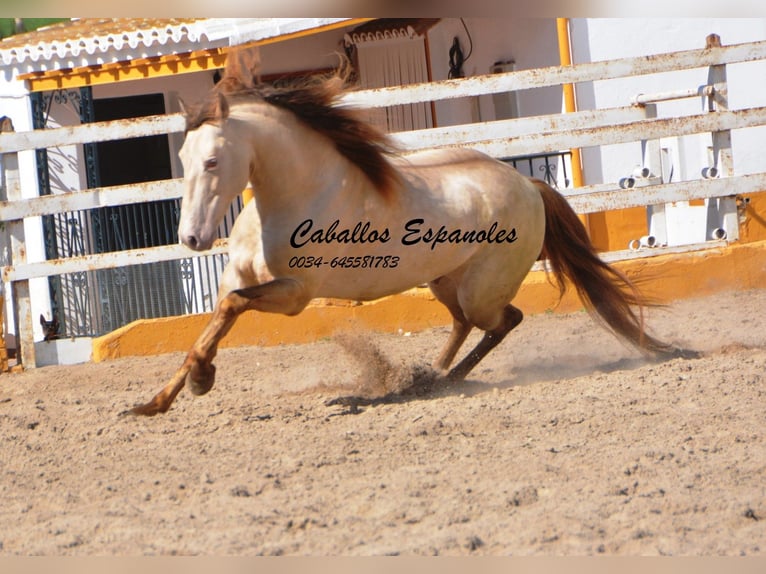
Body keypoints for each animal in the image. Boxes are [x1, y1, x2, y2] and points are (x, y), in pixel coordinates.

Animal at [129, 55, 676, 418]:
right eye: (182, 158)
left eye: (212, 161)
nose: (192, 239)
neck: (297, 195)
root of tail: (530, 186)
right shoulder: (235, 278)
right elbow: (212, 324)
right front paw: (156, 401)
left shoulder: (294, 295)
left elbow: (230, 310)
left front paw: (201, 381)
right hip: (444, 281)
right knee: (463, 324)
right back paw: (427, 378)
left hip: (482, 288)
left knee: (503, 321)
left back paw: (442, 381)